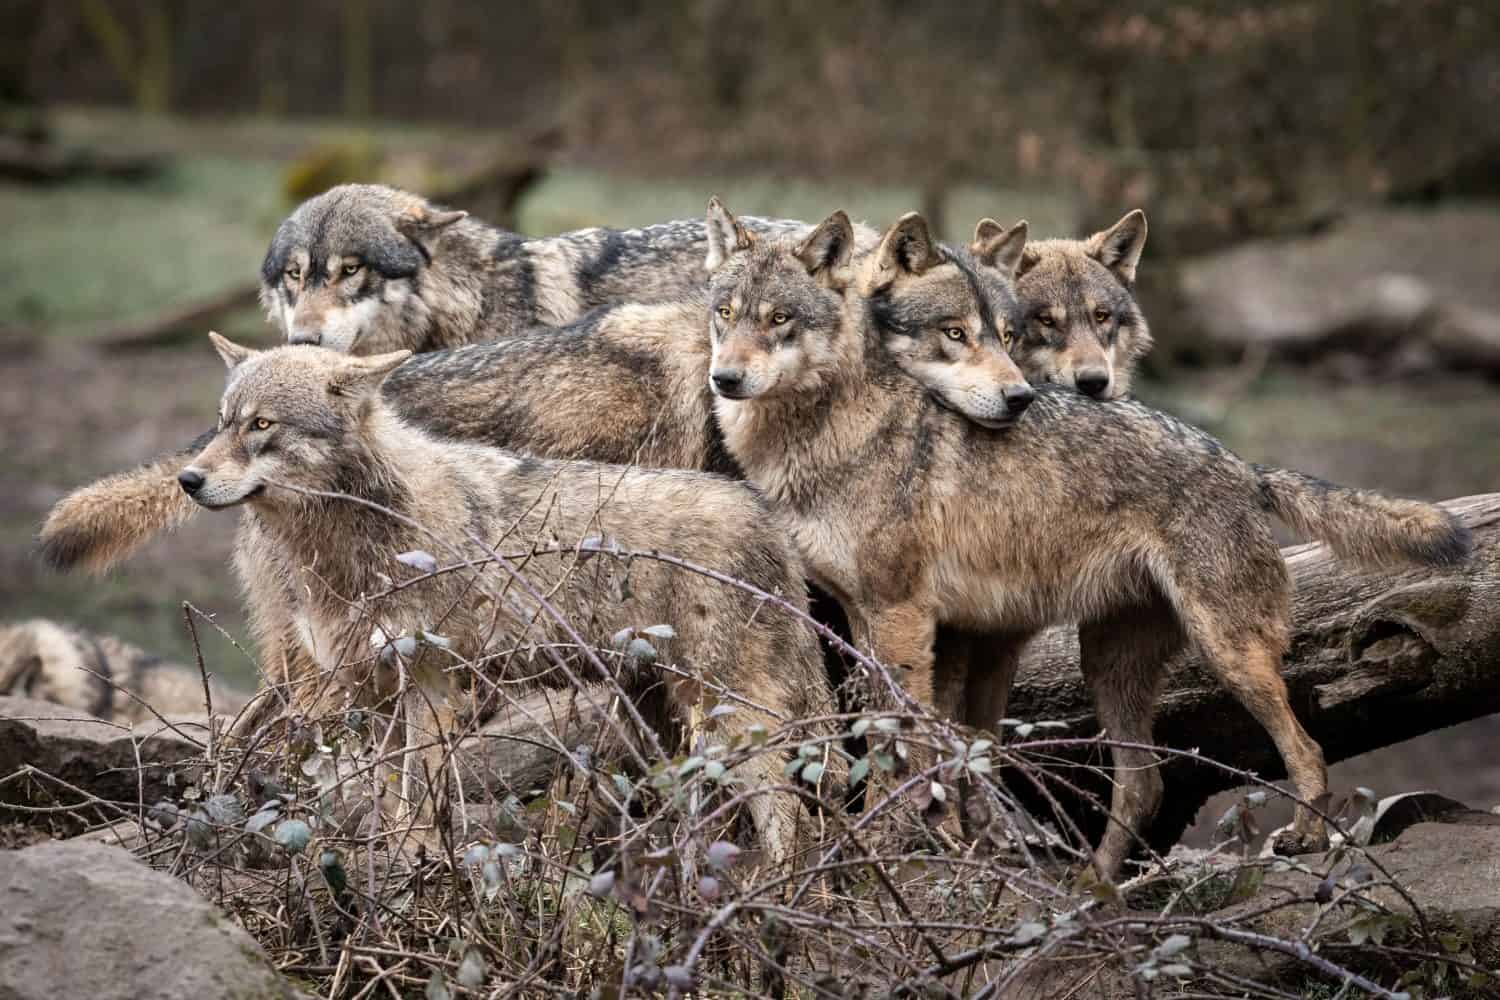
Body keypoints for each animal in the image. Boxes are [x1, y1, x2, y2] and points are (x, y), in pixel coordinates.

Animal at [178, 334, 845, 861]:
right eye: (224, 420)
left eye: (262, 425)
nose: (187, 479)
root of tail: (766, 517)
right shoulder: (378, 694)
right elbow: (383, 796)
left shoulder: (432, 685)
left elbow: (416, 801)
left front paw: (415, 863)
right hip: (663, 714)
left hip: (726, 715)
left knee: (790, 813)